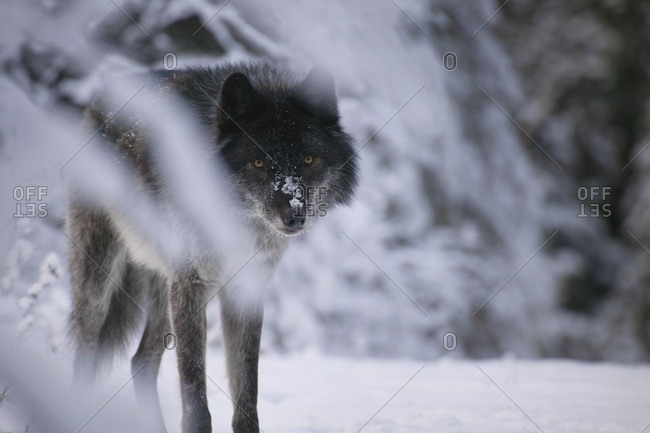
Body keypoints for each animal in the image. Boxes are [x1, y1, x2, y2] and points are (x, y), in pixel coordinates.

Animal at [67, 62, 358, 433]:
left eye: (308, 159)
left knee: (141, 362)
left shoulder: (244, 289)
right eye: (259, 163)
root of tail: (97, 99)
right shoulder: (192, 285)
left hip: (163, 289)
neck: (237, 223)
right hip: (100, 284)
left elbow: (247, 392)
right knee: (84, 359)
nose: (294, 215)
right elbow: (195, 395)